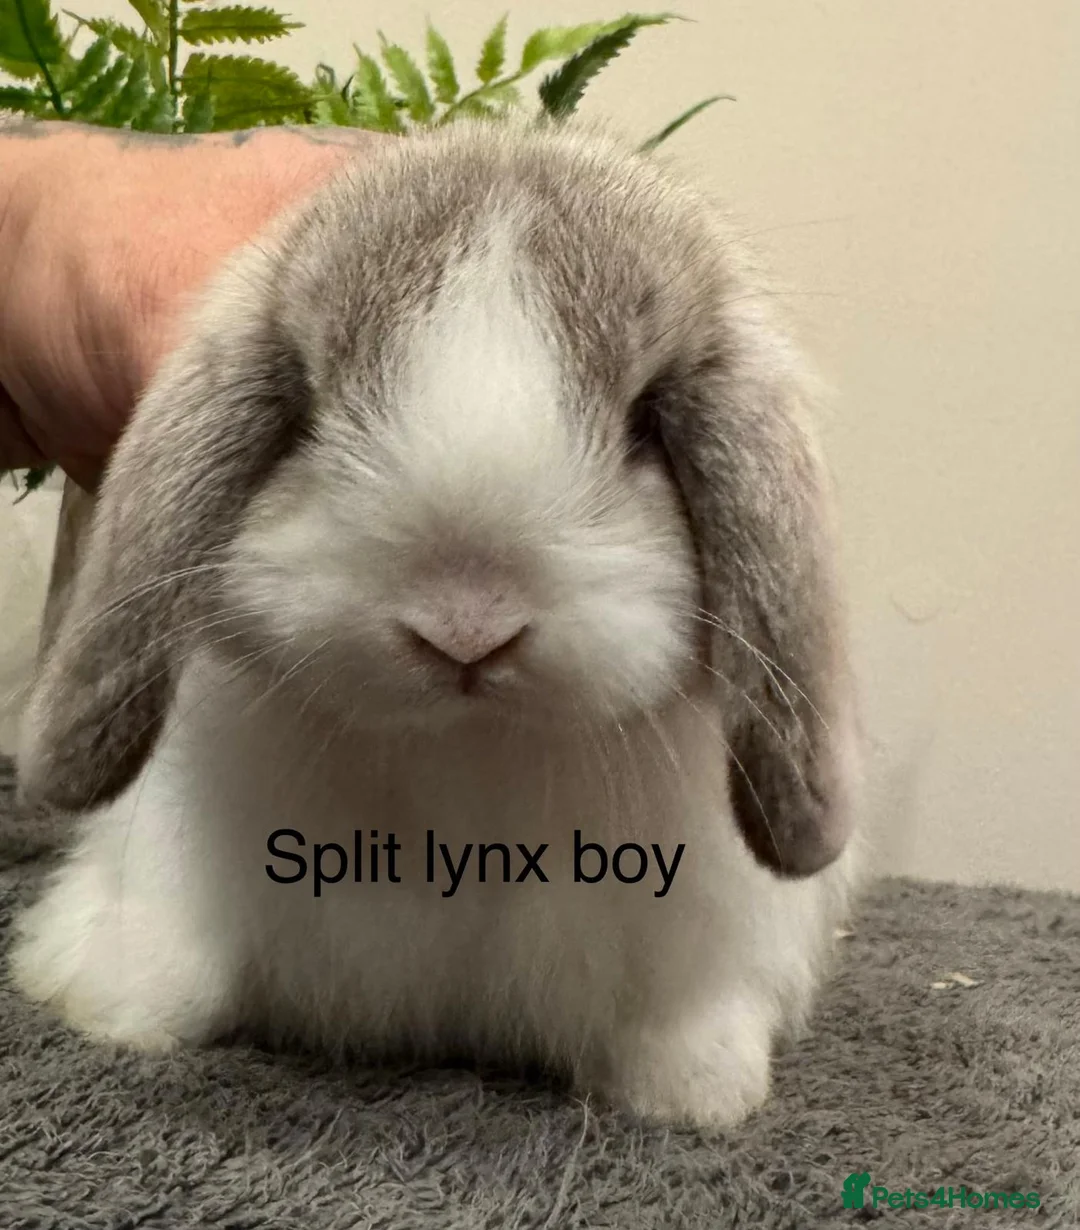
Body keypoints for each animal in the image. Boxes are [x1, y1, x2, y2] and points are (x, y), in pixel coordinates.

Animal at [9, 119, 861, 1129]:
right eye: (307, 408)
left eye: (648, 423)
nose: (466, 629)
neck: (464, 761)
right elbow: (170, 968)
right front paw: (105, 1006)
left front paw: (696, 1092)